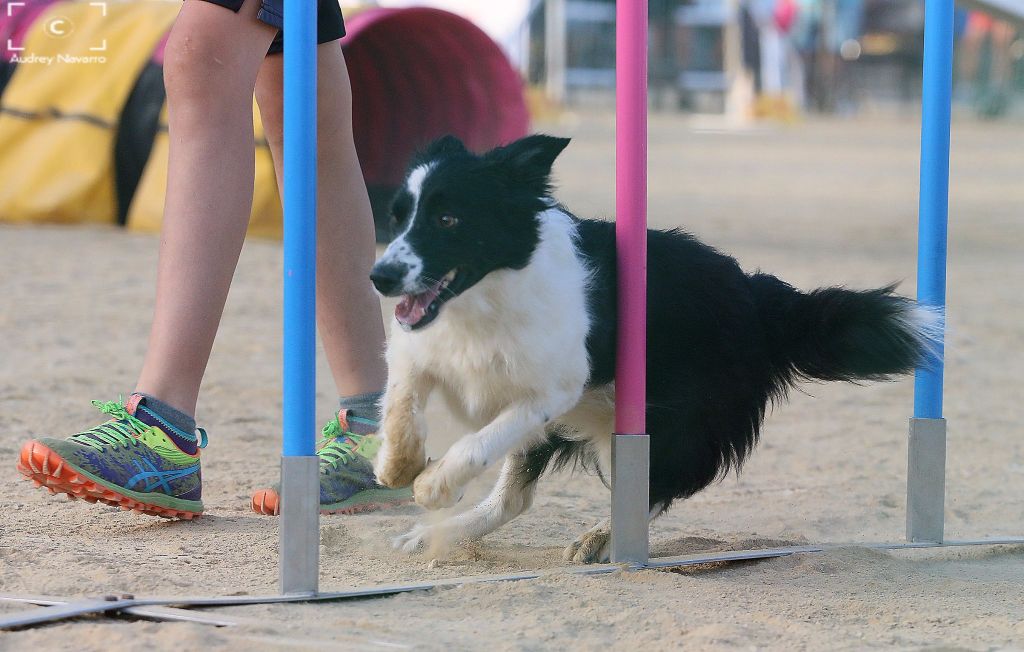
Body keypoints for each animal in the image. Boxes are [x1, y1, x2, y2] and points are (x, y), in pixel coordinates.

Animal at [368, 135, 937, 560]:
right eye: (396, 218)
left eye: (448, 219)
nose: (380, 276)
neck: (480, 299)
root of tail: (755, 293)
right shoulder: (417, 355)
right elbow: (400, 405)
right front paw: (396, 469)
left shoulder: (548, 391)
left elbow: (476, 443)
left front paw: (432, 486)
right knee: (516, 499)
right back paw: (437, 534)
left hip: (664, 426)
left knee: (655, 486)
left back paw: (601, 538)